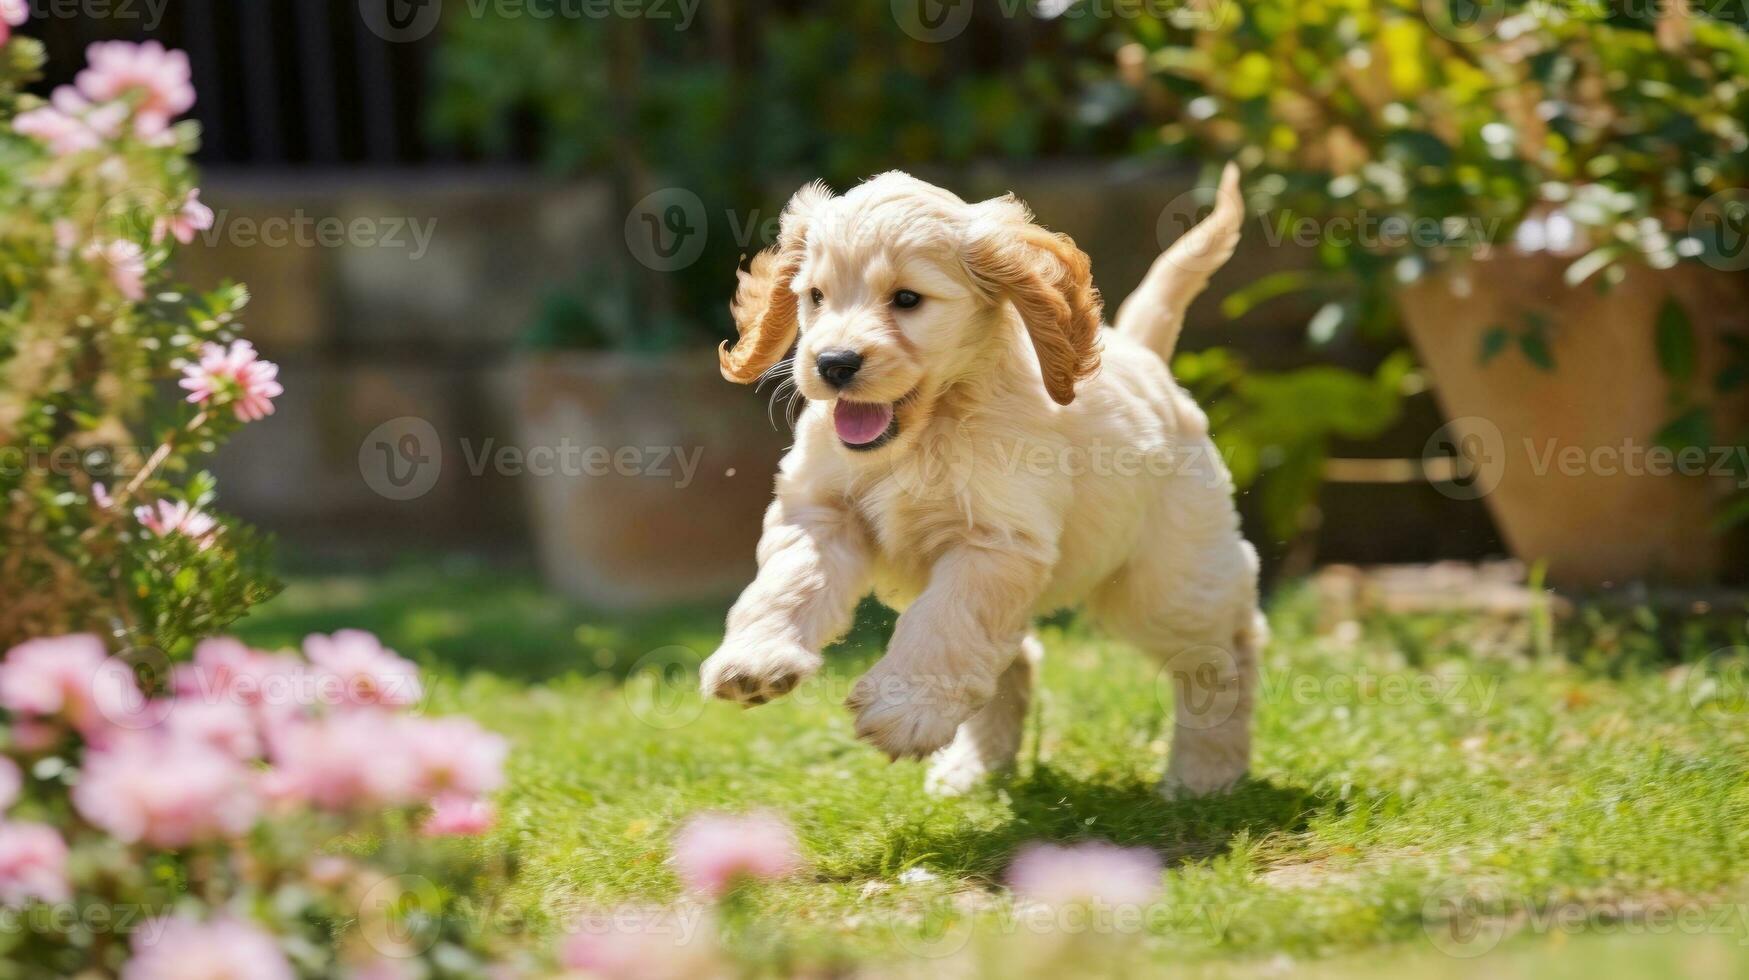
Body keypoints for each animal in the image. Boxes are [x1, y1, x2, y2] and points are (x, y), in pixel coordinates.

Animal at [699, 166, 1273, 798]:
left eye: (907, 299)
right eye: (816, 297)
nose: (833, 364)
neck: (926, 430)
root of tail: (1148, 359)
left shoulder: (995, 543)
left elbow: (946, 623)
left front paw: (905, 711)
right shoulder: (821, 511)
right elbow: (790, 580)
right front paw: (755, 659)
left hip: (1165, 579)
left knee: (1222, 652)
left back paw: (1205, 774)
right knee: (1013, 658)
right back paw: (973, 769)